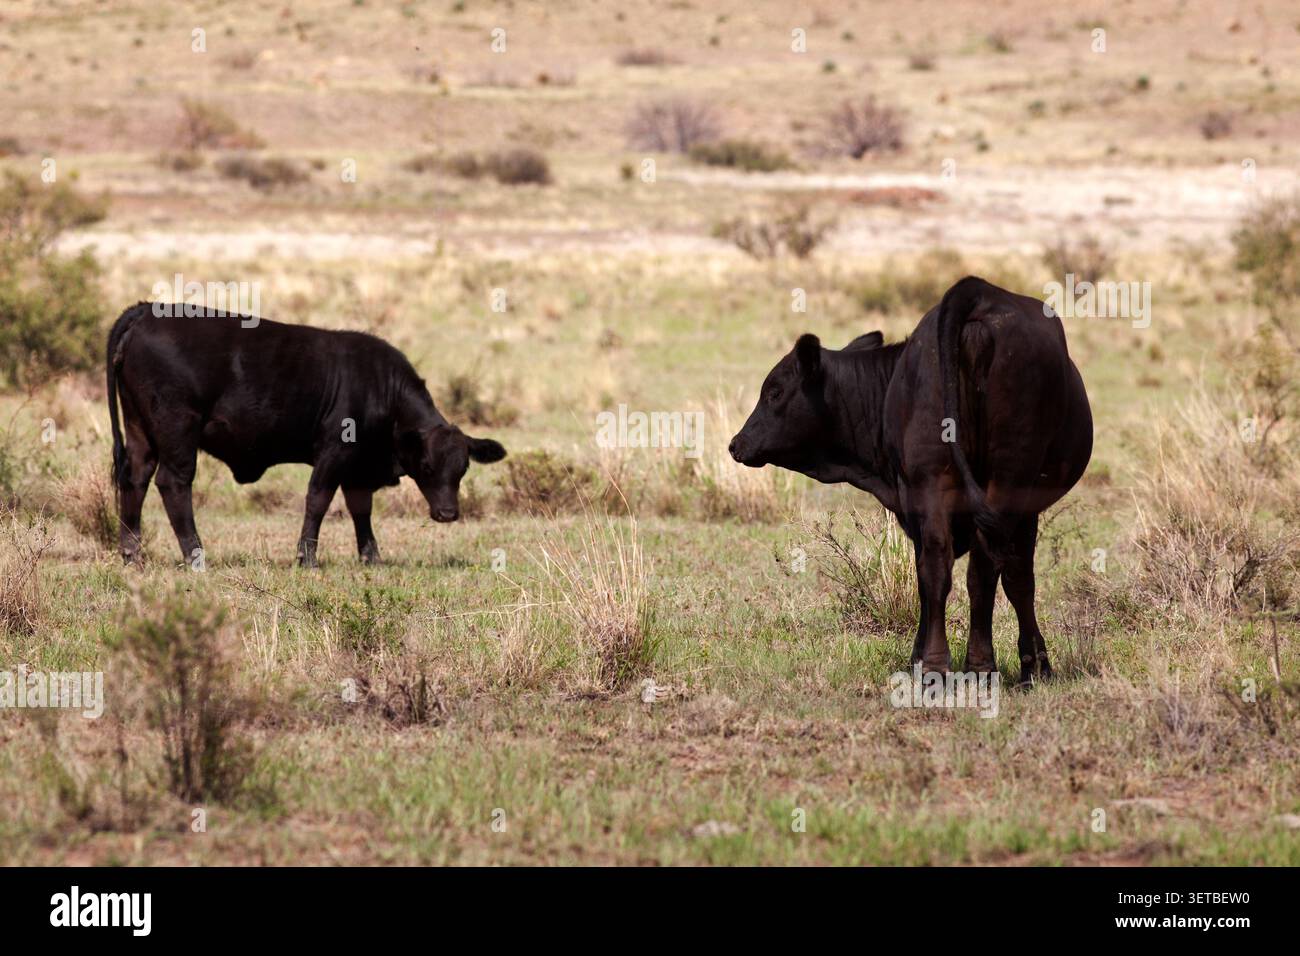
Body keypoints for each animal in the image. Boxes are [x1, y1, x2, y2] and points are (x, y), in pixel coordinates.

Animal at [106, 302, 507, 568]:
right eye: (426, 467)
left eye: (462, 469)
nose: (448, 513)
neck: (380, 387)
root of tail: (145, 310)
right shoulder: (334, 453)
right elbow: (318, 501)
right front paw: (307, 557)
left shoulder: (358, 467)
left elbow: (361, 509)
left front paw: (371, 557)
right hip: (178, 431)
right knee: (173, 484)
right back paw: (195, 556)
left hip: (140, 431)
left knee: (136, 480)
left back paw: (132, 555)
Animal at [728, 276, 1092, 684]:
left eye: (774, 392)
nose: (736, 444)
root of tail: (975, 291)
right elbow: (1014, 580)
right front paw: (1034, 664)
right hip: (994, 478)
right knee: (973, 568)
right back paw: (974, 665)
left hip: (949, 481)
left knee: (947, 567)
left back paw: (946, 665)